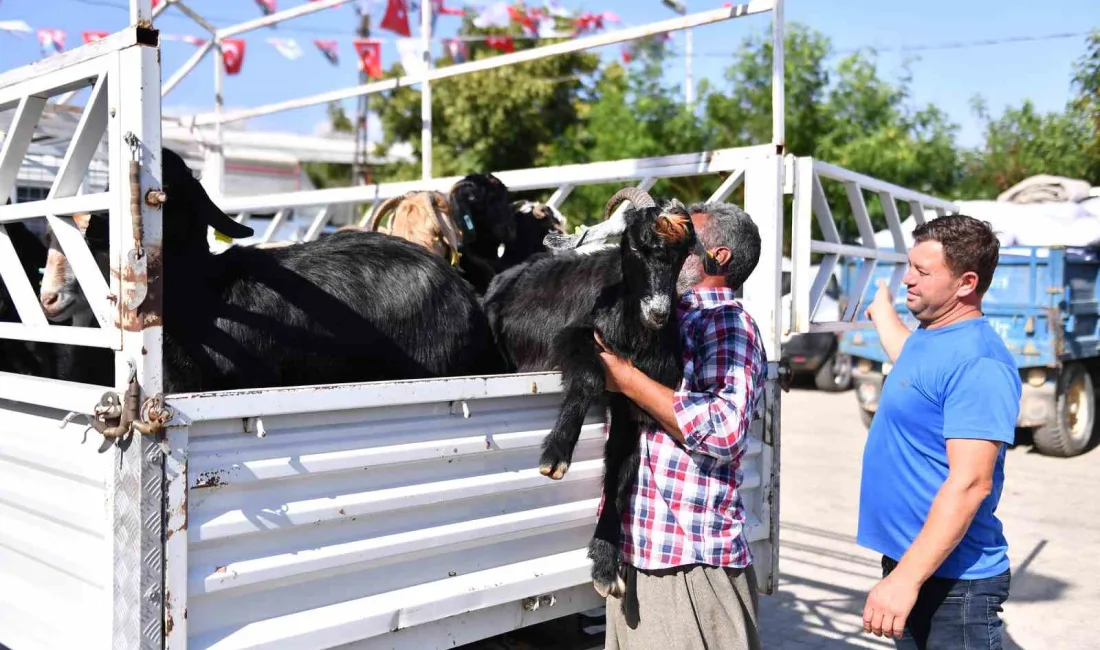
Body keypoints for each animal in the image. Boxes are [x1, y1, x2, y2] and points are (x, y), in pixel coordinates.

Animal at [479, 185, 695, 598]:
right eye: (636, 245)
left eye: (683, 254)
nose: (659, 313)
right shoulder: (572, 338)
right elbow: (591, 378)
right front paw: (556, 455)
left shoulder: (633, 403)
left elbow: (622, 472)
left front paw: (606, 564)